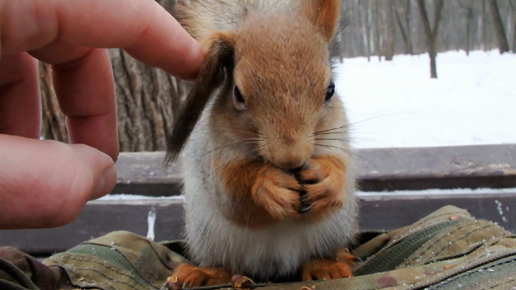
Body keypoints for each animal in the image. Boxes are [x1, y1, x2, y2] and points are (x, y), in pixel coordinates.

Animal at [165, 0, 358, 286]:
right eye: (237, 93)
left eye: (330, 90)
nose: (291, 157)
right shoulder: (215, 154)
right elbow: (232, 196)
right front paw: (267, 184)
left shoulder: (337, 138)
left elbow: (339, 170)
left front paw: (329, 181)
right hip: (208, 237)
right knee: (225, 265)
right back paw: (206, 272)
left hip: (333, 230)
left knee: (316, 255)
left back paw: (327, 266)